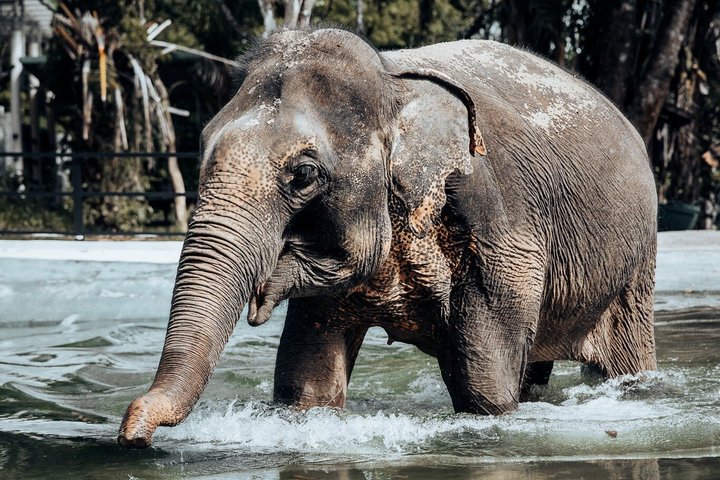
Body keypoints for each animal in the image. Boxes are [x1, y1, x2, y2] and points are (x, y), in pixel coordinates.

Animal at [118, 28, 657, 448]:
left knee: (623, 361)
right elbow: (307, 382)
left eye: (303, 174)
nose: (132, 433)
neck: (391, 83)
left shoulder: (502, 226)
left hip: (635, 268)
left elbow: (484, 388)